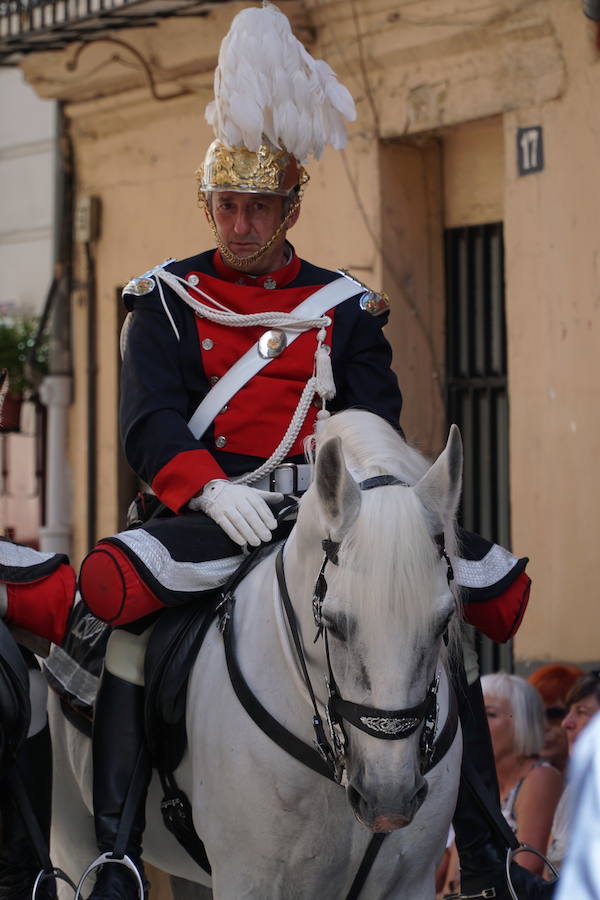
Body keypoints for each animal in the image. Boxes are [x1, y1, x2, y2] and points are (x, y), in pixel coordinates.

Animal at [50, 412, 464, 896]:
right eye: (333, 623)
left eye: (443, 622)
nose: (389, 796)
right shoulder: (247, 878)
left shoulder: (410, 881)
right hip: (71, 836)